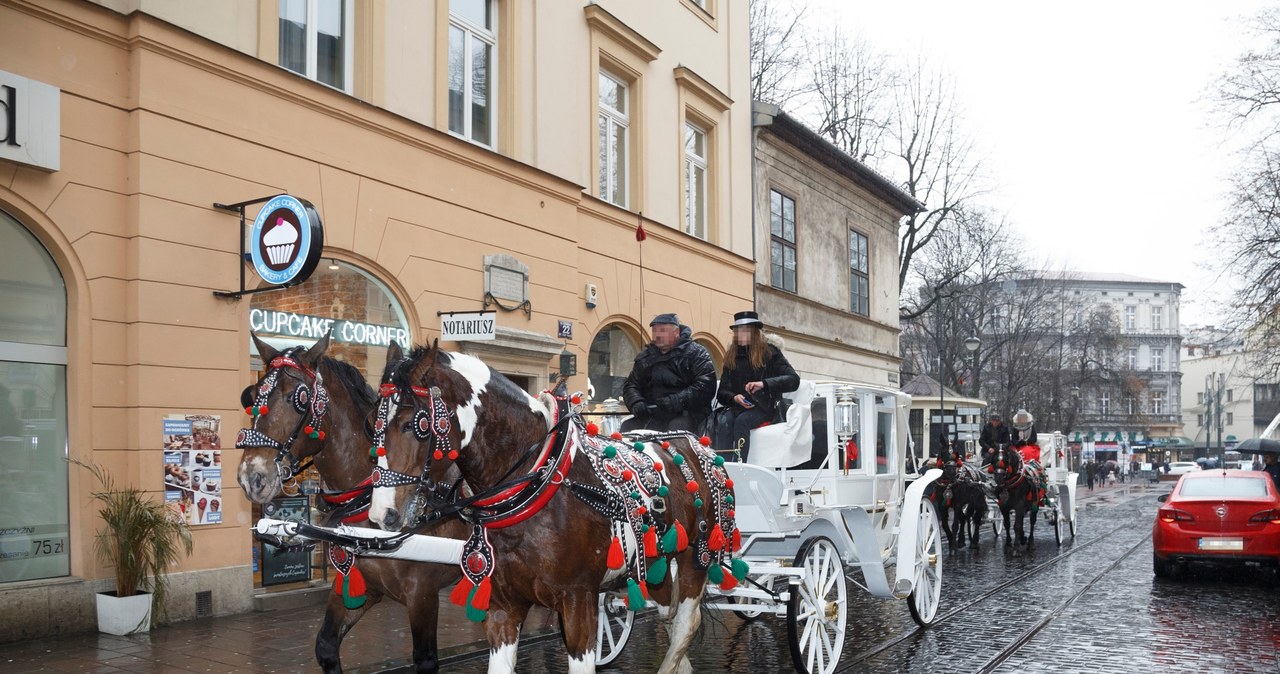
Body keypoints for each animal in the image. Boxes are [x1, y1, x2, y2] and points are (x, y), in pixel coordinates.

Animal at [235, 332, 465, 674]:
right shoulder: (356, 587)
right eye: (251, 397)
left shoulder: (422, 595)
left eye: (296, 398)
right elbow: (326, 647)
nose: (252, 476)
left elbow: (425, 660)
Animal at [366, 342, 742, 674]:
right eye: (372, 422)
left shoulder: (578, 600)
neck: (537, 479)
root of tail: (698, 443)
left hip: (697, 557)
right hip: (656, 564)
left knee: (685, 623)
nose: (381, 515)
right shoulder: (503, 606)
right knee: (668, 613)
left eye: (415, 424)